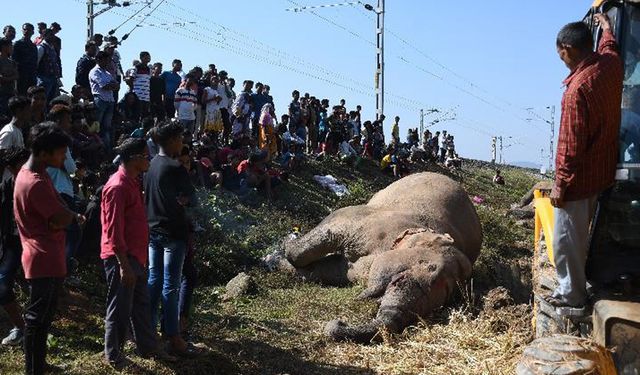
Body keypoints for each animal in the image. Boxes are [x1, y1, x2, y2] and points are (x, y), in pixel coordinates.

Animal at [280, 173, 480, 344]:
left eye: (446, 297)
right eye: (430, 268)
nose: (338, 322)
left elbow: (329, 270)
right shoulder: (368, 222)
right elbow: (327, 232)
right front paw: (282, 253)